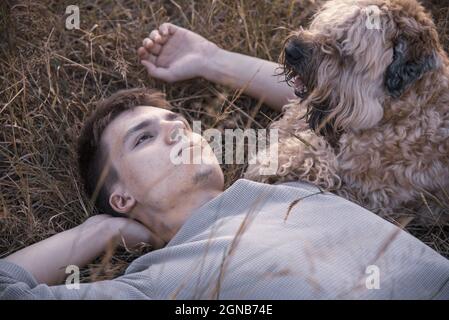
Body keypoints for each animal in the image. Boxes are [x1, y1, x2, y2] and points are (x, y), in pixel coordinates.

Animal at [245, 0, 448, 225]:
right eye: (326, 25)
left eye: (344, 47)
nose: (291, 50)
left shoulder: (369, 197)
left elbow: (313, 156)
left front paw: (266, 162)